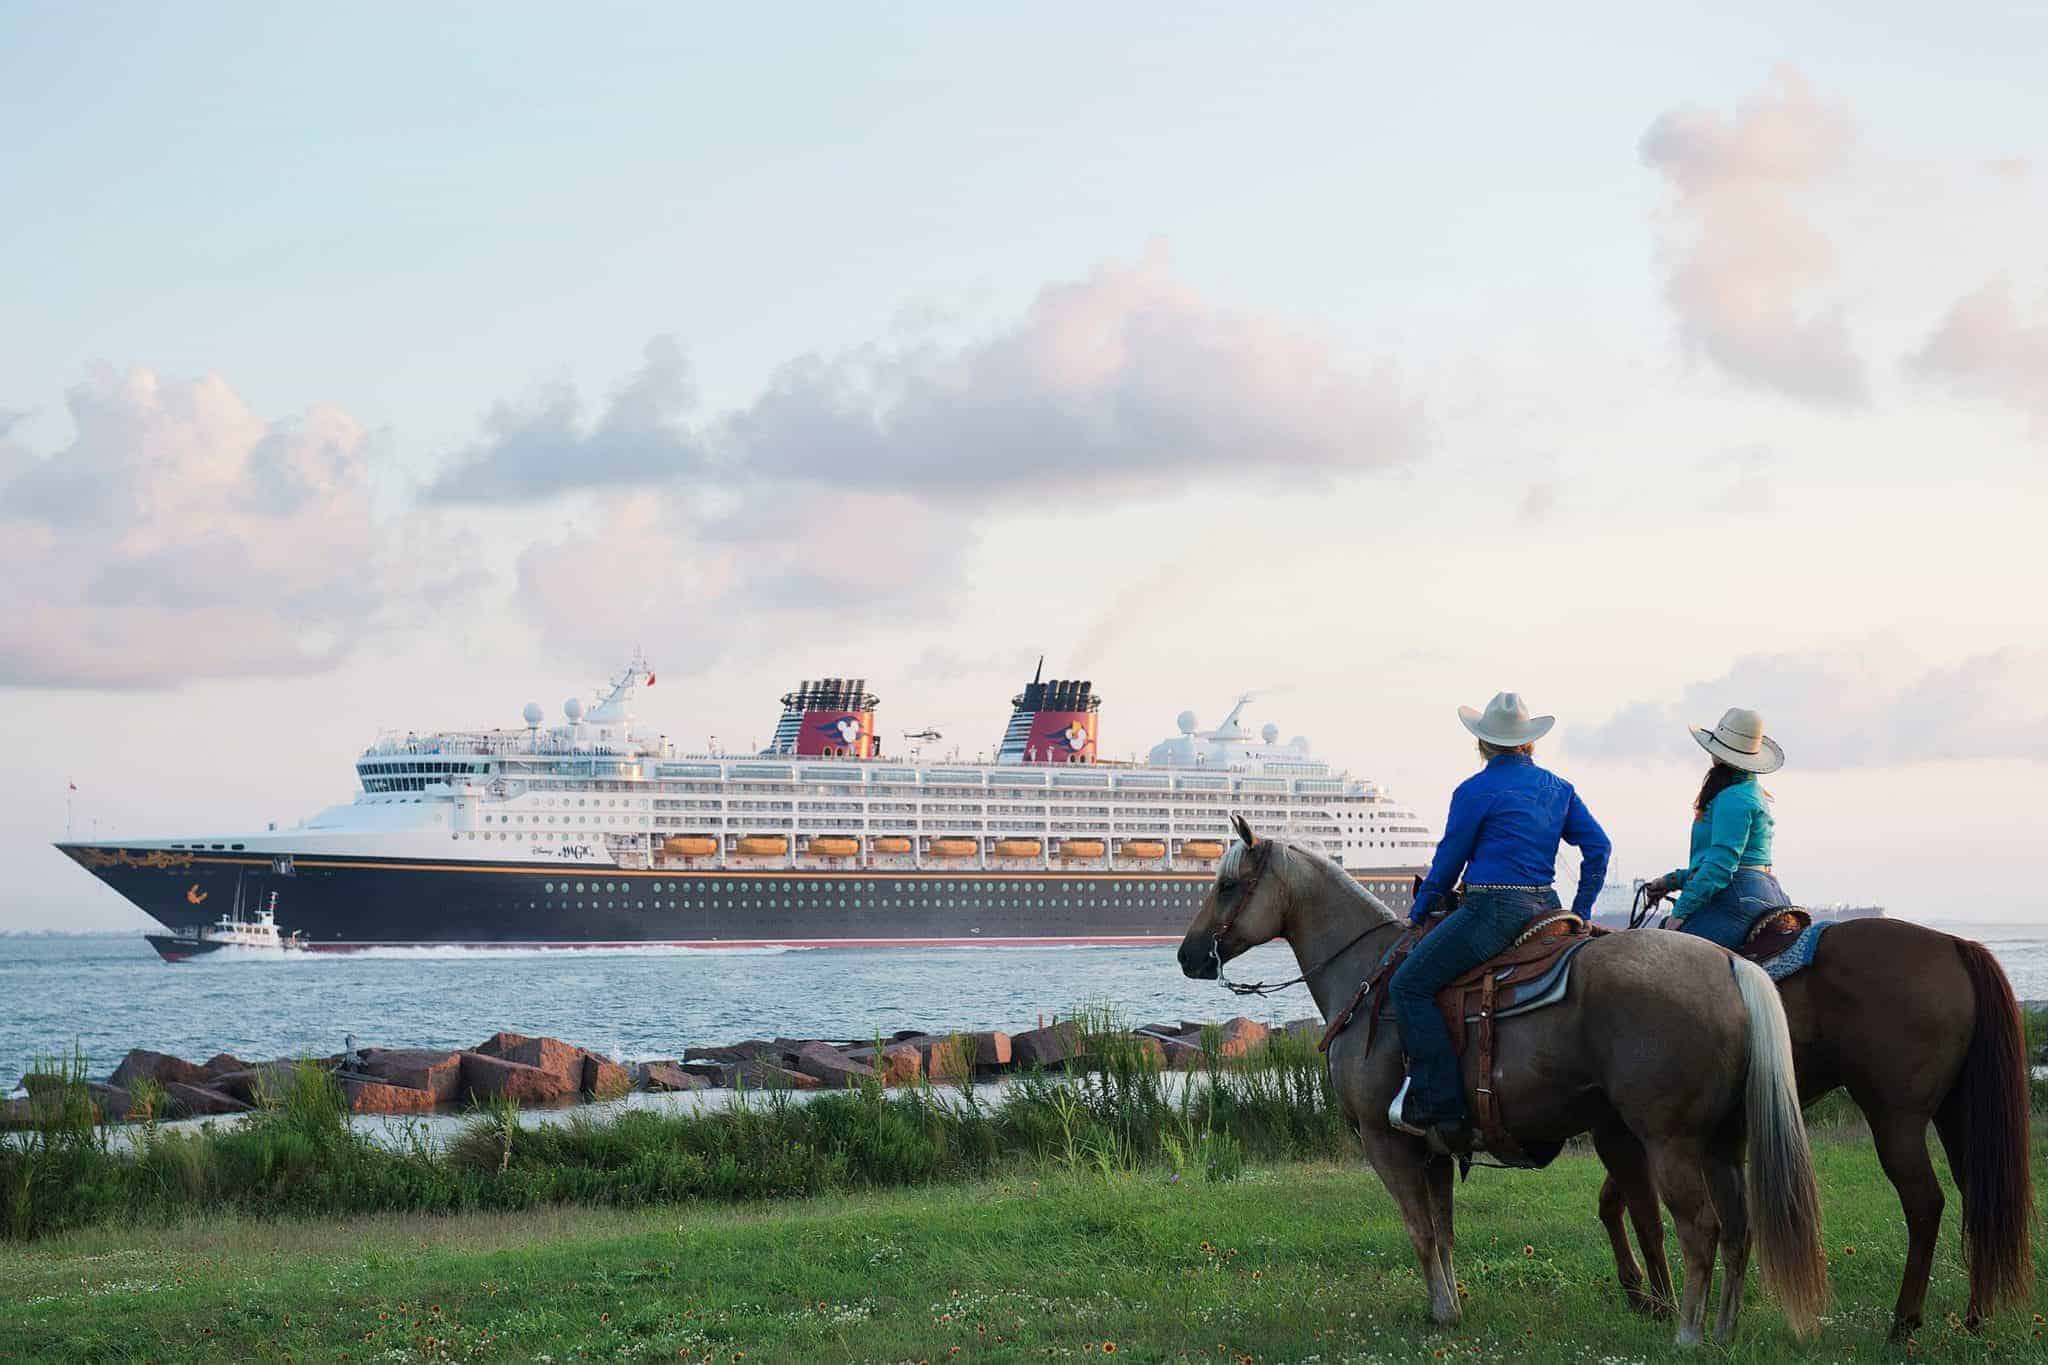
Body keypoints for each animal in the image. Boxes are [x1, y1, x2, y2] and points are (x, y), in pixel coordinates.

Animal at [1179, 822, 1835, 1342]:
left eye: (1228, 885)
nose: (1188, 955)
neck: (1369, 976)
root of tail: (1732, 964)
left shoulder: (1385, 1142)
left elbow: (1419, 1231)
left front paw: (1443, 1312)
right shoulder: (1434, 1149)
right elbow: (1443, 1233)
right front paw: (1449, 1307)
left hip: (1670, 1143)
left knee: (1701, 1229)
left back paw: (1690, 1334)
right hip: (1724, 1141)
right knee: (1739, 1231)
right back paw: (1723, 1330)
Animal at [1589, 912, 2023, 1342]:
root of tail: (1954, 944)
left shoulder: (1644, 1134)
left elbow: (1638, 1213)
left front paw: (1653, 1300)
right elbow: (1614, 1203)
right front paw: (1644, 1296)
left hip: (1895, 1119)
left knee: (1924, 1204)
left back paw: (1904, 1322)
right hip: (1953, 1113)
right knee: (1976, 1194)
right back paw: (1976, 1316)